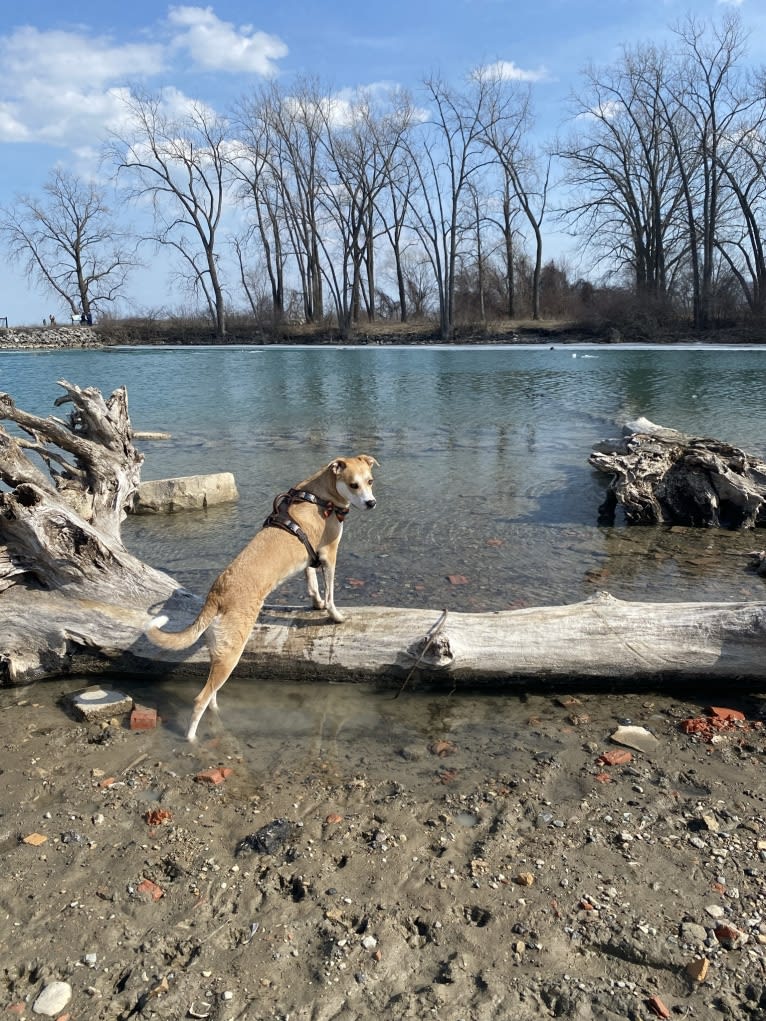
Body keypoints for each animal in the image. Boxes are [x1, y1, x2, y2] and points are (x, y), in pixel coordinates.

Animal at [145, 457, 379, 743]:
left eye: (370, 481)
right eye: (353, 485)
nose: (371, 503)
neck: (321, 495)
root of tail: (217, 593)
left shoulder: (309, 559)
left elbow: (312, 584)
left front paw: (317, 604)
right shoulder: (329, 555)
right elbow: (330, 593)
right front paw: (334, 615)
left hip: (220, 652)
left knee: (212, 694)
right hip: (232, 653)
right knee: (201, 698)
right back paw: (191, 739)